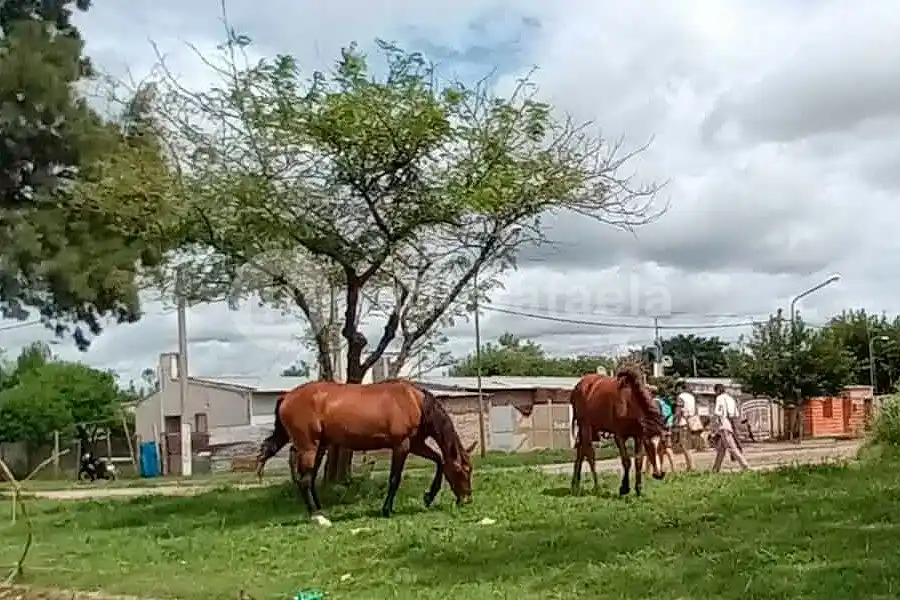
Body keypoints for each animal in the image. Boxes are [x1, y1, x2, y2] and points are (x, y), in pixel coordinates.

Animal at [255, 379, 476, 520]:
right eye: (463, 471)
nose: (467, 499)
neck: (415, 402)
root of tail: (286, 398)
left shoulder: (416, 444)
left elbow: (439, 460)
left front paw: (429, 496)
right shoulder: (402, 445)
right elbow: (394, 479)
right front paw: (386, 510)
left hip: (318, 446)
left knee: (308, 478)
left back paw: (319, 509)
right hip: (309, 446)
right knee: (305, 481)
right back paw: (316, 515)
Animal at [570, 365, 668, 497]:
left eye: (663, 443)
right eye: (649, 445)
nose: (659, 474)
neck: (629, 402)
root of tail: (578, 386)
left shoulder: (639, 436)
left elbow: (638, 460)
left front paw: (638, 489)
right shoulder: (619, 436)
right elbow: (626, 461)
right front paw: (624, 488)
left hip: (588, 428)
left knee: (581, 450)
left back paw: (575, 484)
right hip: (585, 425)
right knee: (589, 453)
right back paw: (596, 486)